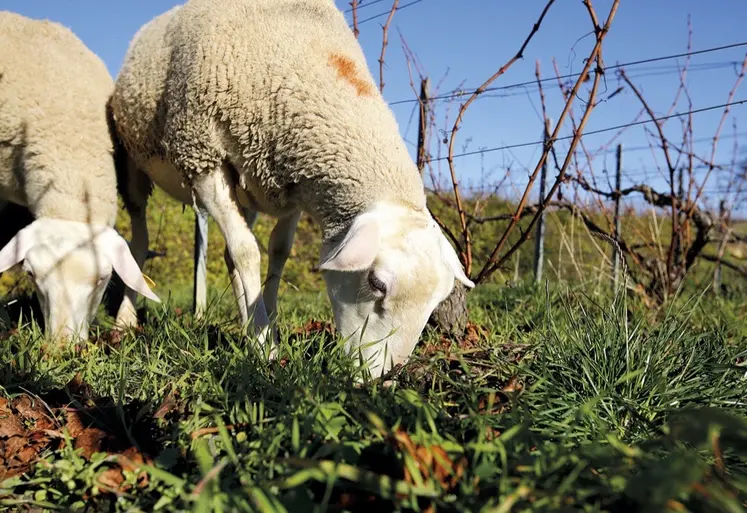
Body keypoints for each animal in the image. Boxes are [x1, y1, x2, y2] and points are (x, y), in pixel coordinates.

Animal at [109, 0, 474, 376]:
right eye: (376, 284)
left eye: (437, 301)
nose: (381, 378)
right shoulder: (203, 159)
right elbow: (247, 251)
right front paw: (263, 346)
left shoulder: (294, 184)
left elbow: (278, 252)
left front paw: (266, 328)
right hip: (132, 163)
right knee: (141, 241)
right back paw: (125, 321)